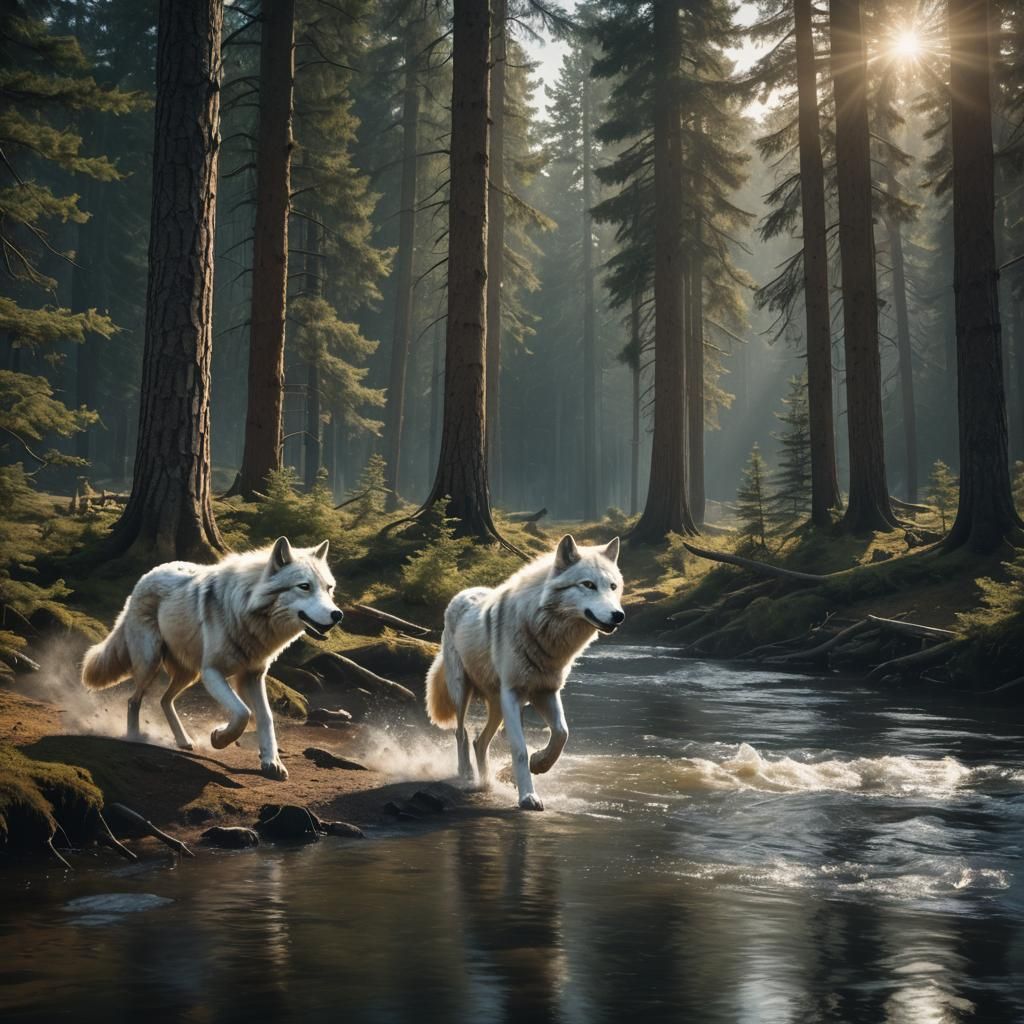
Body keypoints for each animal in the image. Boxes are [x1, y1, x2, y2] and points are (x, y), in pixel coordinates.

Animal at [81, 537, 342, 779]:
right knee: (133, 700)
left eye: (329, 588)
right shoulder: (212, 672)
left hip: (189, 674)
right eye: (304, 586)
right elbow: (242, 713)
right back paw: (135, 737)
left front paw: (271, 763)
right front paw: (219, 738)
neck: (246, 610)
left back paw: (183, 740)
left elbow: (265, 717)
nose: (337, 614)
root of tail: (146, 575)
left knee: (165, 700)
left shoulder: (253, 675)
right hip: (152, 663)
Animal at [425, 534, 624, 810]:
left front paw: (536, 764)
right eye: (588, 585)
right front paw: (528, 796)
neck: (541, 631)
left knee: (479, 741)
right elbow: (519, 748)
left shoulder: (545, 692)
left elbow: (561, 734)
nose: (618, 616)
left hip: (498, 705)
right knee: (461, 733)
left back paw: (487, 781)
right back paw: (467, 775)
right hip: (463, 692)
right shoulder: (513, 693)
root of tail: (463, 593)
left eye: (613, 587)